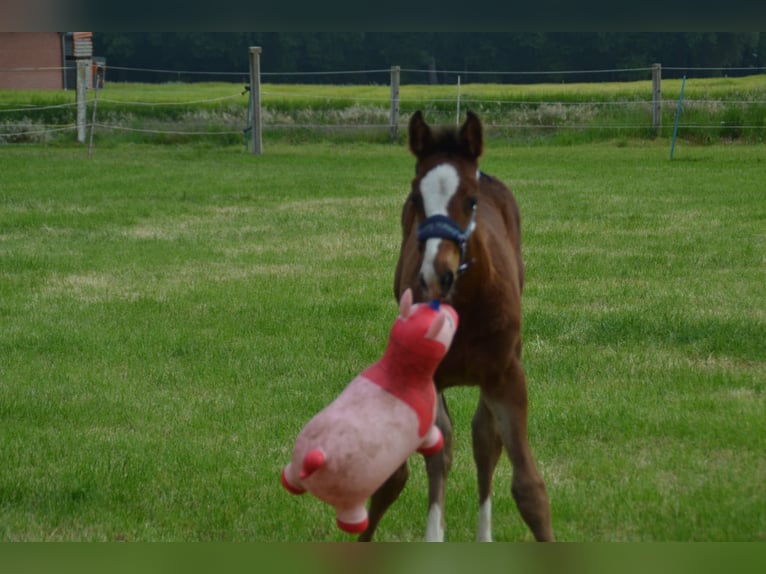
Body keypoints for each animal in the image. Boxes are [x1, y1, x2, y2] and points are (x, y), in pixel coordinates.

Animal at [359, 110, 554, 542]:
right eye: (416, 199)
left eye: (471, 200)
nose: (437, 274)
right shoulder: (426, 376)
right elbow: (429, 458)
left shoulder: (505, 375)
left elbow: (528, 485)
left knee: (485, 440)